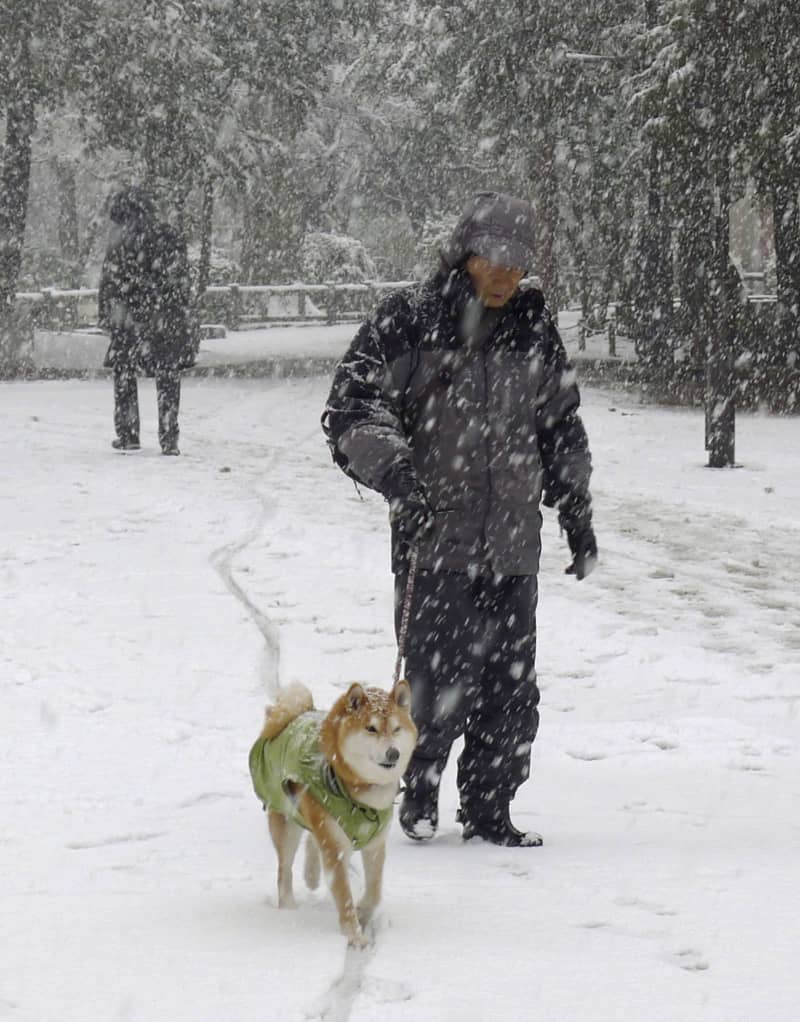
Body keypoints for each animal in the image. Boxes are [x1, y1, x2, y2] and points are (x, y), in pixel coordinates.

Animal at [250, 678, 418, 948]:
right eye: (371, 729)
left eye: (396, 729)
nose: (394, 753)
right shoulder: (335, 847)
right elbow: (343, 895)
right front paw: (355, 936)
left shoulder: (375, 843)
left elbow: (375, 891)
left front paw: (363, 913)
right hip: (286, 819)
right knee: (284, 871)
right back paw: (289, 909)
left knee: (311, 839)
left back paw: (311, 874)